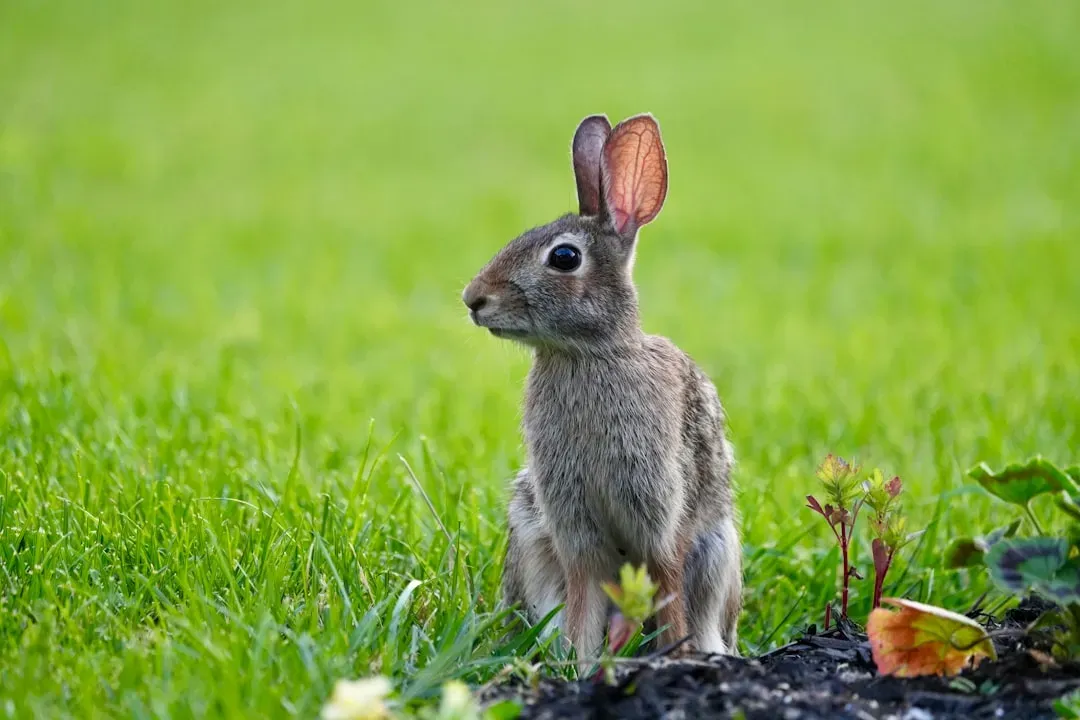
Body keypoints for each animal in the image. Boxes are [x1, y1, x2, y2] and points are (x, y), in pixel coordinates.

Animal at [462, 113, 742, 667]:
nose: (473, 299)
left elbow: (667, 583)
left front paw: (671, 660)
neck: (586, 355)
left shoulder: (661, 515)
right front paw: (579, 664)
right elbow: (582, 599)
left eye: (565, 257)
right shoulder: (573, 529)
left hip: (718, 550)